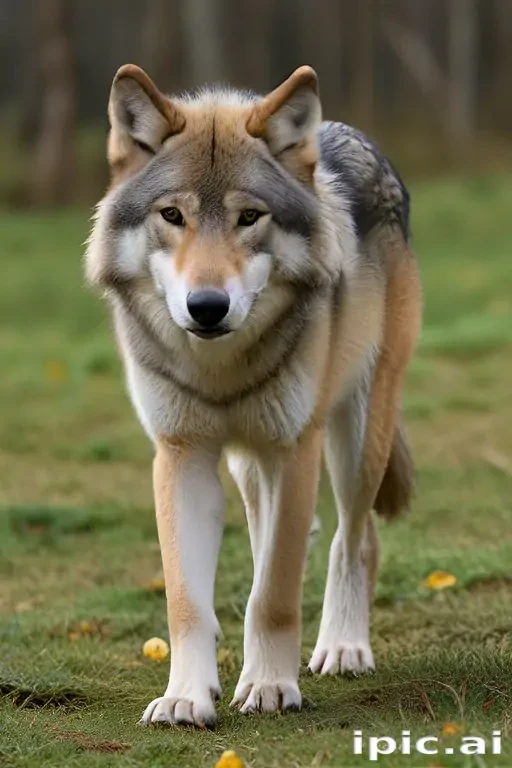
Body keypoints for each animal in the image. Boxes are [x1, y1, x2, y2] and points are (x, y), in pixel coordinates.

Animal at [85, 64, 422, 729]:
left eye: (249, 218)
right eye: (172, 215)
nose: (207, 307)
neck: (220, 369)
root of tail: (352, 136)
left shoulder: (294, 449)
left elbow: (274, 595)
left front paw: (269, 686)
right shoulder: (181, 456)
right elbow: (188, 600)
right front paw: (187, 696)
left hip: (353, 437)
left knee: (353, 539)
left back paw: (343, 647)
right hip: (249, 465)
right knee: (294, 532)